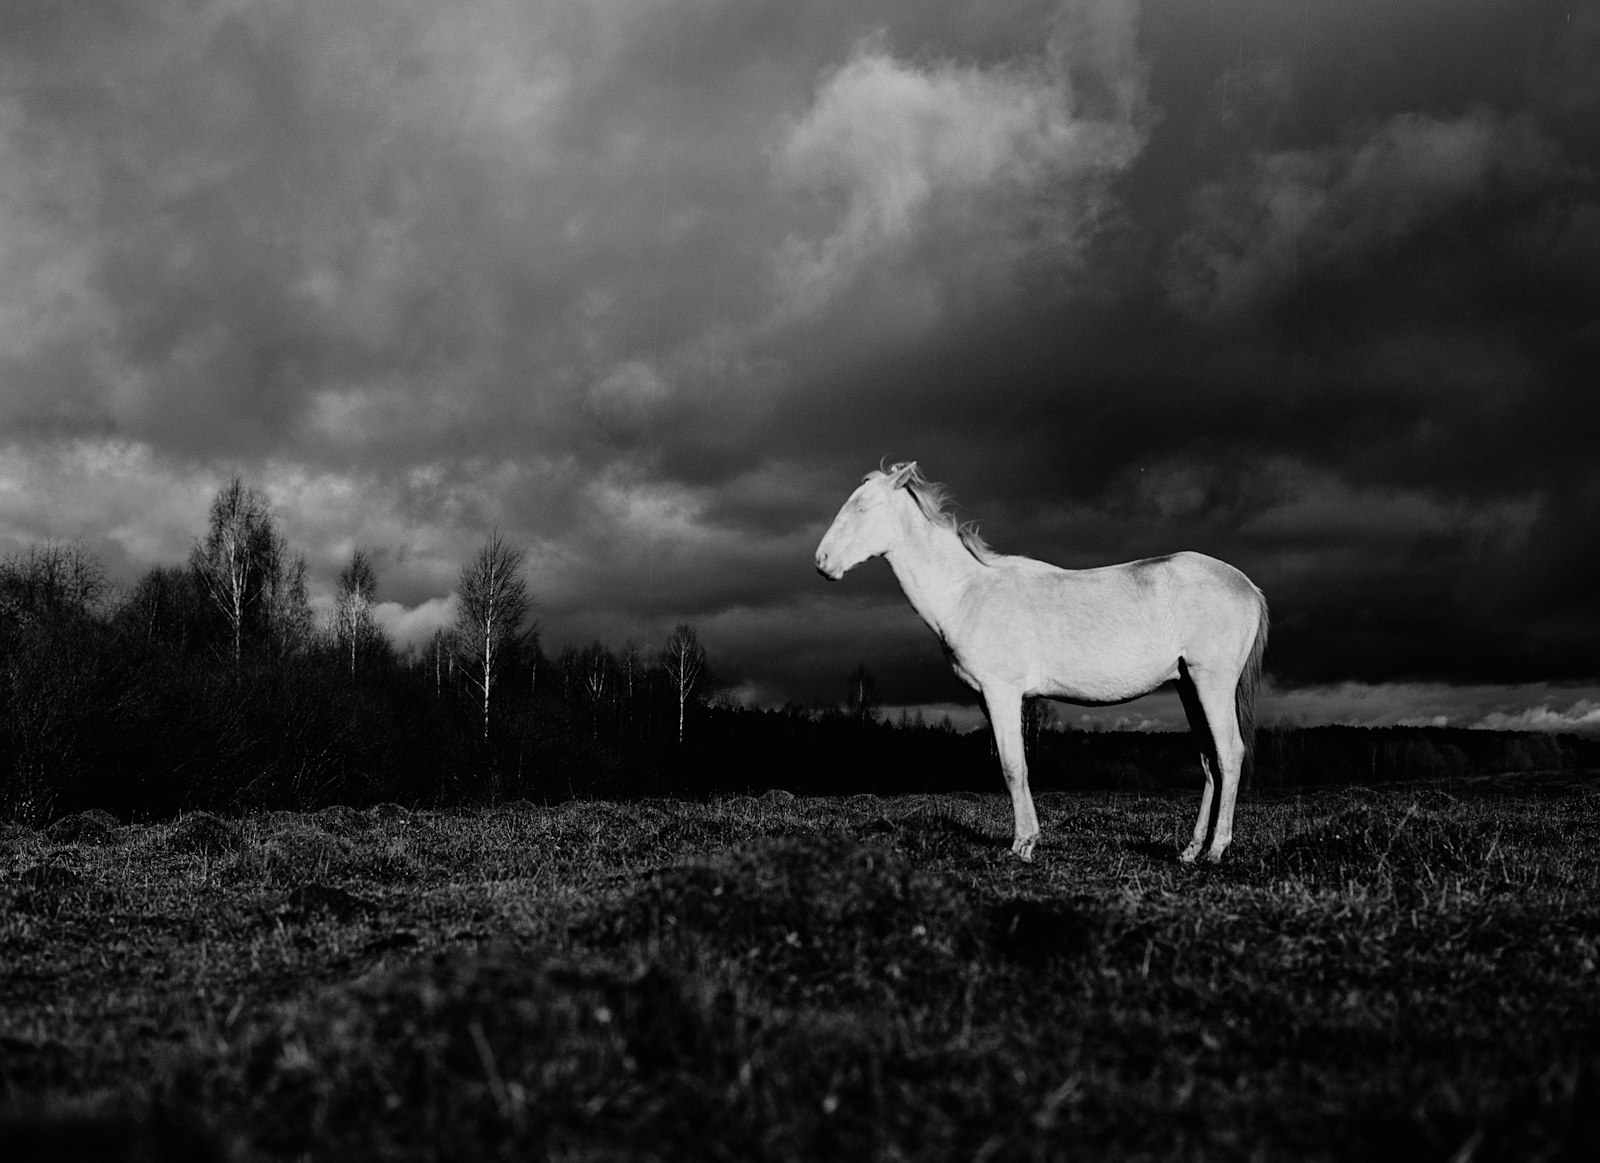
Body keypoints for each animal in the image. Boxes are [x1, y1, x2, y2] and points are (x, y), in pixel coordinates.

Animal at [814, 461, 1268, 863]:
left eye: (864, 507)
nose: (822, 562)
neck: (966, 591)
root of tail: (1248, 586)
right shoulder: (992, 699)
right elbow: (1019, 764)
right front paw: (1029, 839)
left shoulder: (1001, 692)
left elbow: (1013, 767)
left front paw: (1021, 846)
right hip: (1188, 686)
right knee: (1209, 761)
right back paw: (1190, 851)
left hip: (1212, 683)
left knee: (1229, 755)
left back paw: (1216, 850)